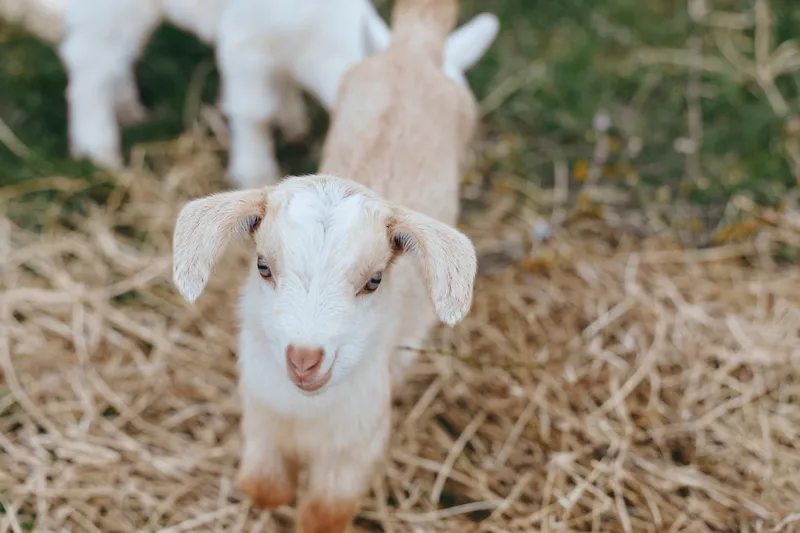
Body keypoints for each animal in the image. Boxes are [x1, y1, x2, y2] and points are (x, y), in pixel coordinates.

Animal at [171, 1, 497, 531]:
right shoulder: (259, 418)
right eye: (263, 266)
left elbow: (325, 512)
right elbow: (262, 487)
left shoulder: (357, 443)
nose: (304, 359)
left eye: (374, 280)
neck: (305, 414)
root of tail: (413, 48)